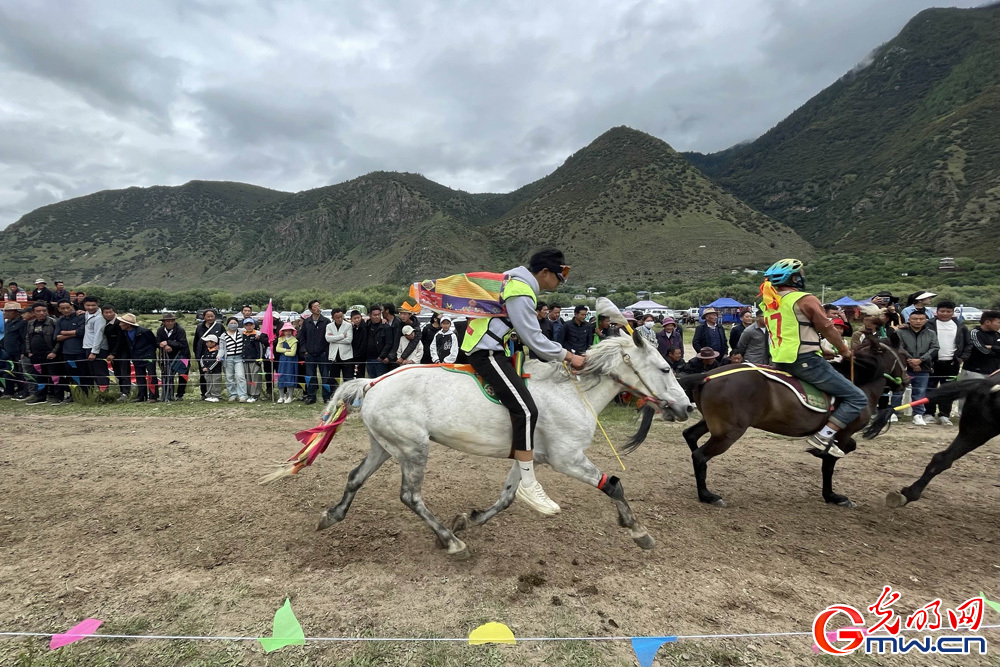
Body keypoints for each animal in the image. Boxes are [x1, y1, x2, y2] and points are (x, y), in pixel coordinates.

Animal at [316, 332, 692, 560]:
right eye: (664, 368)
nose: (687, 407)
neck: (572, 394)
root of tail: (372, 382)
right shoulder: (568, 459)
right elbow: (613, 485)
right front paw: (639, 531)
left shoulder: (530, 456)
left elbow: (508, 496)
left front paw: (470, 519)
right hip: (412, 449)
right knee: (410, 496)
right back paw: (451, 543)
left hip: (384, 445)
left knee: (355, 477)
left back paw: (332, 515)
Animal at [624, 340, 908, 506]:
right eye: (904, 356)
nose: (906, 380)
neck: (859, 381)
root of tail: (706, 375)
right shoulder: (844, 431)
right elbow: (832, 460)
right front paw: (832, 495)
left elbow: (834, 457)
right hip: (729, 433)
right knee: (700, 455)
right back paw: (707, 495)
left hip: (715, 425)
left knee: (691, 437)